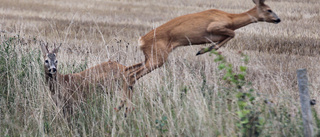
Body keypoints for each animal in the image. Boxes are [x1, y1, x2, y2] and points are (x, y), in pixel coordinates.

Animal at [116, 0, 282, 112]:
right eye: (269, 10)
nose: (278, 19)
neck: (231, 19)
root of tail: (141, 41)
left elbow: (228, 36)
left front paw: (205, 49)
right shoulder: (214, 26)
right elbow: (232, 34)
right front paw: (203, 50)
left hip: (150, 56)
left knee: (128, 71)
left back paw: (122, 106)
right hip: (158, 57)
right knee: (132, 75)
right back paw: (126, 107)